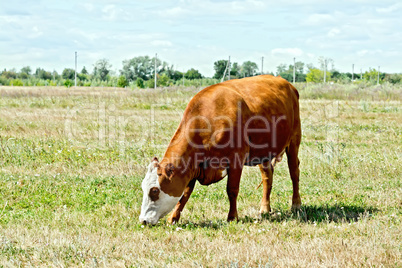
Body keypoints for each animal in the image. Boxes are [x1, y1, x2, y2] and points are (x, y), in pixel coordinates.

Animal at [140, 74, 300, 225]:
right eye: (143, 187)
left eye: (154, 190)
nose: (143, 220)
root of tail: (285, 82)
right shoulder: (192, 166)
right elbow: (185, 194)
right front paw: (173, 218)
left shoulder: (236, 158)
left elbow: (232, 189)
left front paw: (232, 217)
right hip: (264, 152)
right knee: (267, 176)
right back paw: (265, 208)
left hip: (294, 140)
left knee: (294, 172)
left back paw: (296, 204)